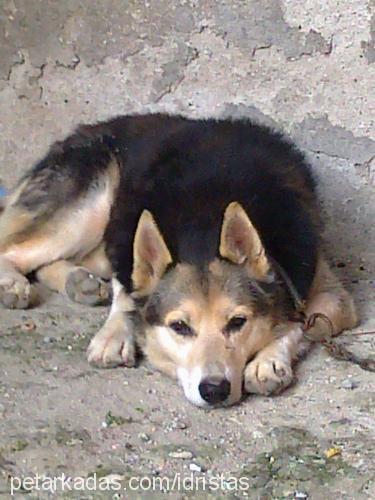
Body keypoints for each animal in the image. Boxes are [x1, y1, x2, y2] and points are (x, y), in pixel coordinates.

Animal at [0, 115, 358, 408]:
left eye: (237, 322)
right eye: (180, 327)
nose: (214, 390)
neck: (205, 215)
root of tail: (80, 133)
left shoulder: (331, 295)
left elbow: (302, 324)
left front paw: (268, 360)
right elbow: (128, 293)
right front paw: (115, 334)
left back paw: (80, 281)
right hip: (91, 205)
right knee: (13, 249)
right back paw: (14, 284)